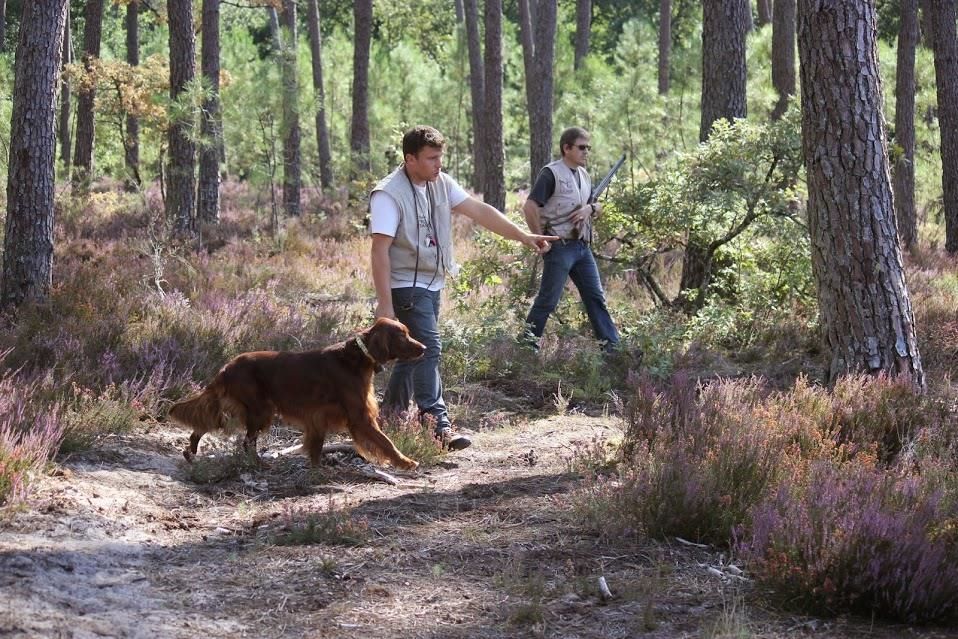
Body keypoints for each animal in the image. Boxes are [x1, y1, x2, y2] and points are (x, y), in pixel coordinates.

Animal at [170, 316, 428, 470]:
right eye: (403, 335)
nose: (424, 348)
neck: (357, 357)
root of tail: (227, 367)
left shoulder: (319, 416)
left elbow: (317, 445)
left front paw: (316, 468)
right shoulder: (360, 417)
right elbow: (386, 442)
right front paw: (406, 462)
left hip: (243, 408)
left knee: (205, 424)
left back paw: (190, 453)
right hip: (260, 410)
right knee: (245, 441)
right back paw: (257, 463)